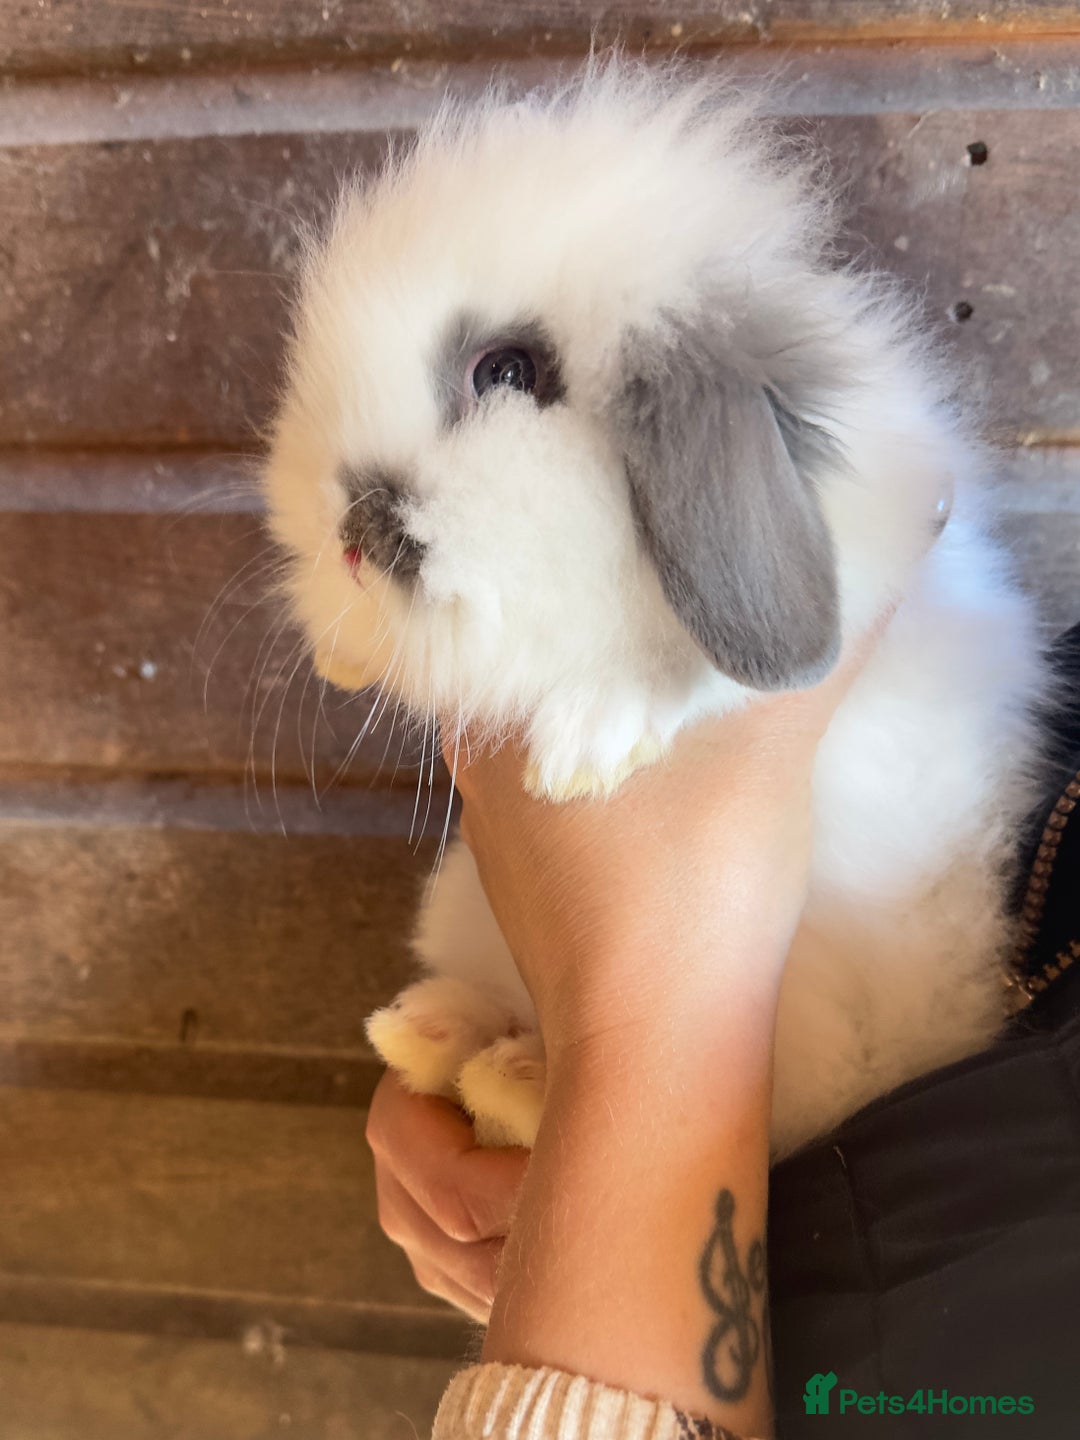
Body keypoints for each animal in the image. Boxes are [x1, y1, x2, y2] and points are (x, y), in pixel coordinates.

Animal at [262, 57, 1049, 1159]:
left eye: (507, 371)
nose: (347, 529)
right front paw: (344, 647)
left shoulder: (870, 561)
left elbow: (696, 670)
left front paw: (583, 745)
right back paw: (433, 1034)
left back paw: (507, 1081)